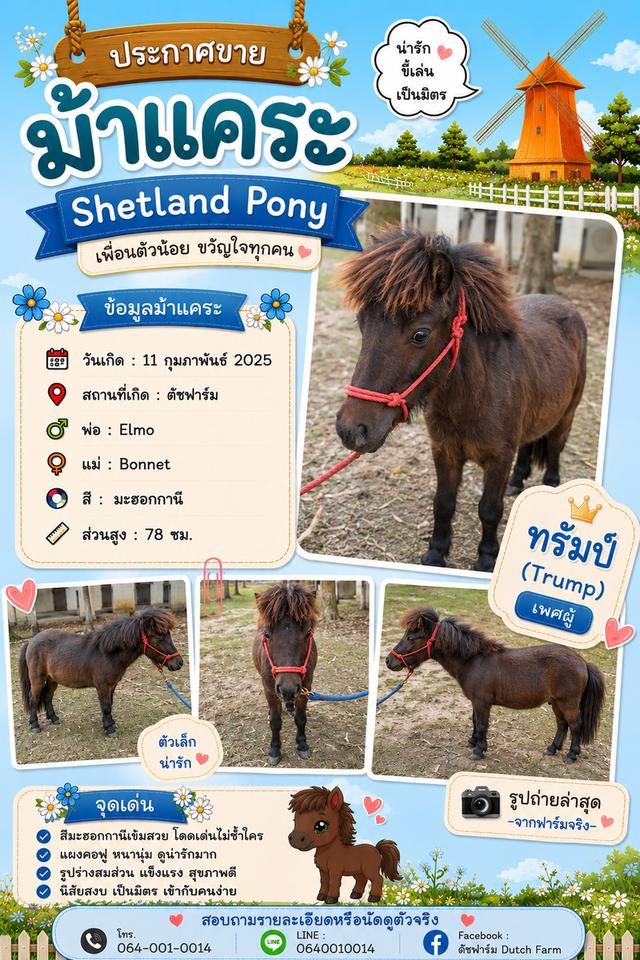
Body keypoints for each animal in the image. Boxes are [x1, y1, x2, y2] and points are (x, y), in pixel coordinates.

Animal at [19, 607, 183, 737]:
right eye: (161, 638)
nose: (179, 663)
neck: (107, 653)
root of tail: (31, 641)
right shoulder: (103, 686)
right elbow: (106, 706)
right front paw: (110, 729)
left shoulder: (112, 686)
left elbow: (109, 704)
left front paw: (110, 724)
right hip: (37, 680)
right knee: (33, 698)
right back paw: (35, 725)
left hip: (53, 679)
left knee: (48, 697)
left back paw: (54, 718)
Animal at [252, 583, 318, 766]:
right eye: (267, 635)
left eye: (308, 633)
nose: (287, 689)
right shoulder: (269, 689)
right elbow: (275, 722)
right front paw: (275, 749)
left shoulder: (305, 688)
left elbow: (301, 718)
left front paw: (302, 744)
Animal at [335, 230, 587, 571]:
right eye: (362, 323)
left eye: (420, 334)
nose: (351, 429)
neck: (473, 396)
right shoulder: (445, 451)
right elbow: (443, 503)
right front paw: (436, 553)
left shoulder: (498, 459)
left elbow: (489, 509)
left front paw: (487, 558)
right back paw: (517, 481)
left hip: (567, 414)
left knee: (555, 448)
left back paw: (549, 486)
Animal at [386, 606, 605, 764]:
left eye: (411, 638)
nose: (389, 661)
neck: (473, 661)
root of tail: (582, 662)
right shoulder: (476, 702)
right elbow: (474, 721)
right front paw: (472, 742)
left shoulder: (482, 702)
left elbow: (482, 724)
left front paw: (479, 750)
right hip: (556, 703)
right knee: (562, 724)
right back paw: (552, 749)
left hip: (568, 703)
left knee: (575, 725)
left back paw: (572, 755)